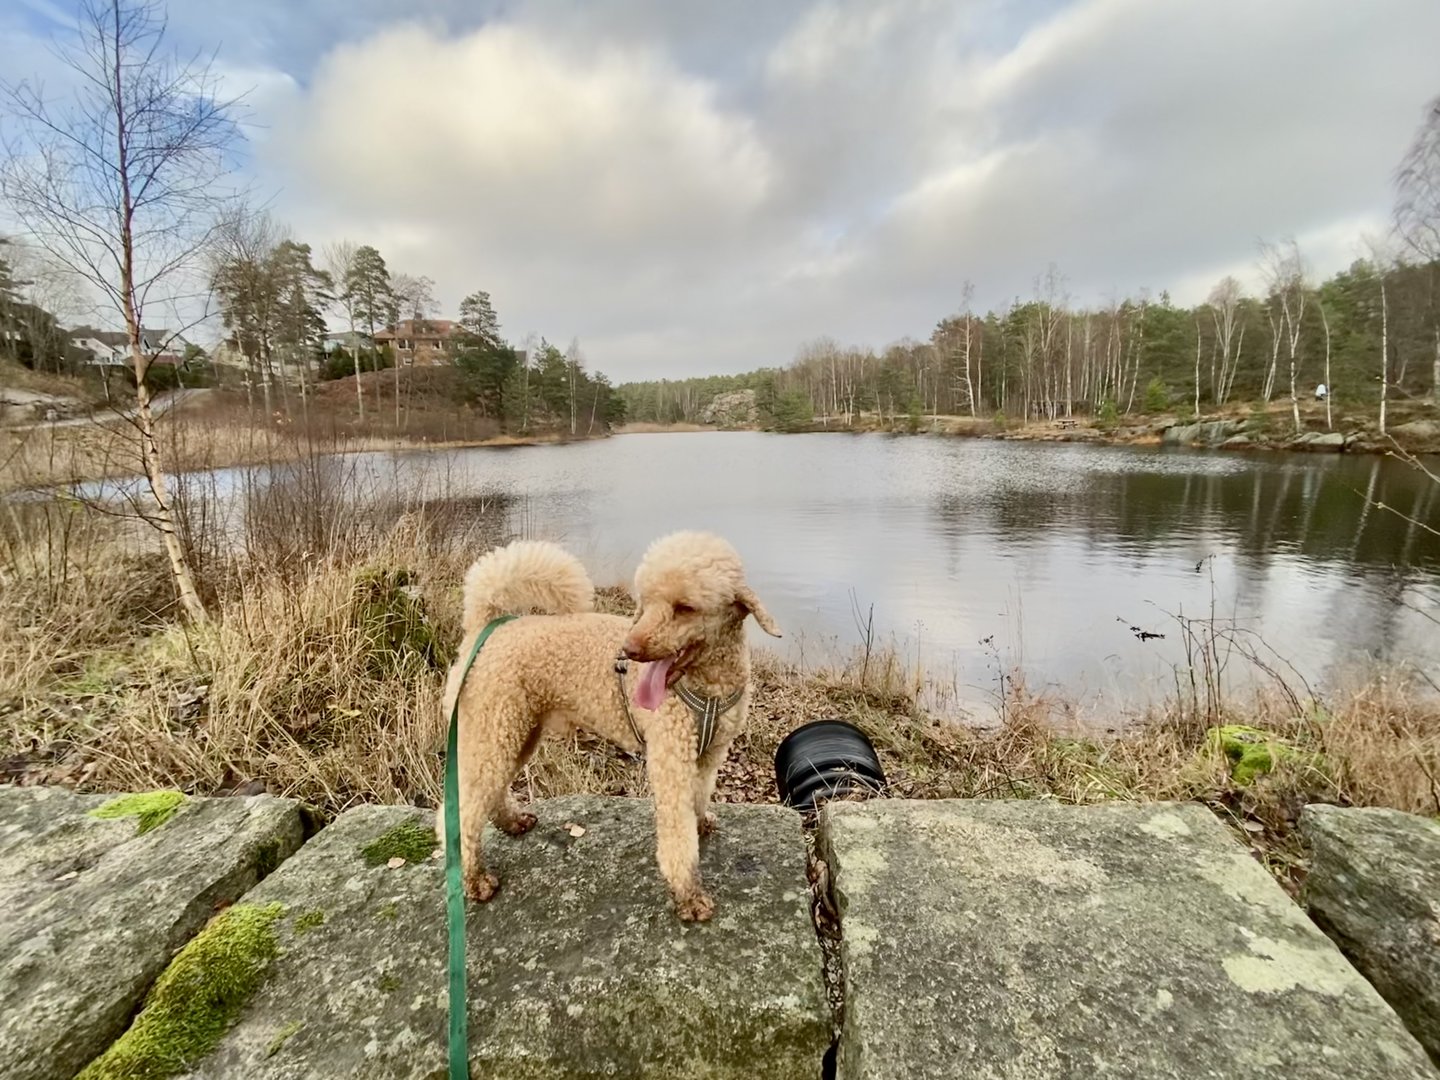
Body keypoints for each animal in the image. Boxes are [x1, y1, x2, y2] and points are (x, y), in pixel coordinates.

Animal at [440, 531, 781, 922]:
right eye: (645, 602)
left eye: (685, 607)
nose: (628, 649)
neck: (707, 686)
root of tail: (485, 626)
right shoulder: (671, 759)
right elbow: (676, 834)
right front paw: (689, 895)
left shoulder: (708, 755)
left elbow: (698, 798)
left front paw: (700, 824)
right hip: (492, 728)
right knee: (462, 810)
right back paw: (474, 879)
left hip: (514, 732)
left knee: (489, 791)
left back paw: (511, 823)